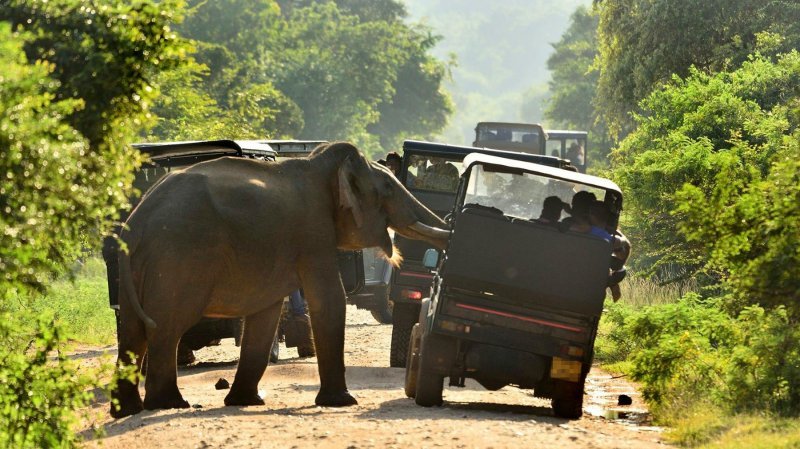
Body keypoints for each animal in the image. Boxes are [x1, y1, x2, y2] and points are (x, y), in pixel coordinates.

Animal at [111, 143, 450, 416]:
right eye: (389, 188)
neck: (320, 166)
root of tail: (137, 221)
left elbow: (266, 313)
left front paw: (246, 401)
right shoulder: (313, 232)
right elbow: (329, 299)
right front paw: (343, 402)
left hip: (143, 266)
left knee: (132, 331)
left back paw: (127, 410)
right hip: (177, 258)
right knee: (166, 327)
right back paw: (169, 404)